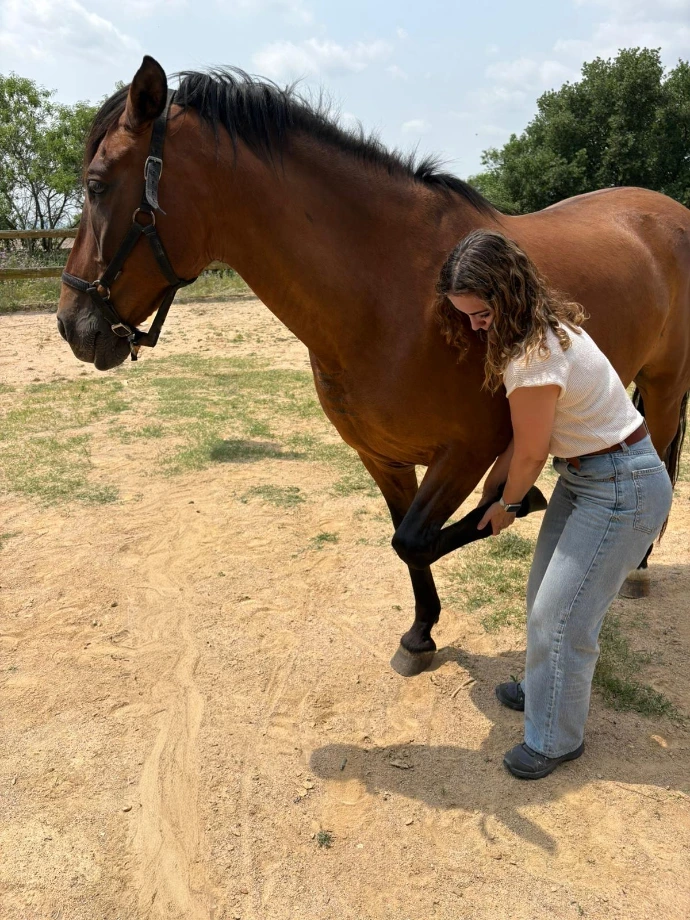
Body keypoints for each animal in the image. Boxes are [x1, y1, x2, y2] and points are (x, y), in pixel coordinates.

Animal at [57, 56, 690, 677]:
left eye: (96, 184)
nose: (71, 325)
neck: (394, 293)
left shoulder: (468, 450)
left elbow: (416, 539)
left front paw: (523, 502)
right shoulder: (382, 456)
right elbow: (404, 539)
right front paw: (420, 634)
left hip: (664, 385)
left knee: (658, 456)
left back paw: (635, 569)